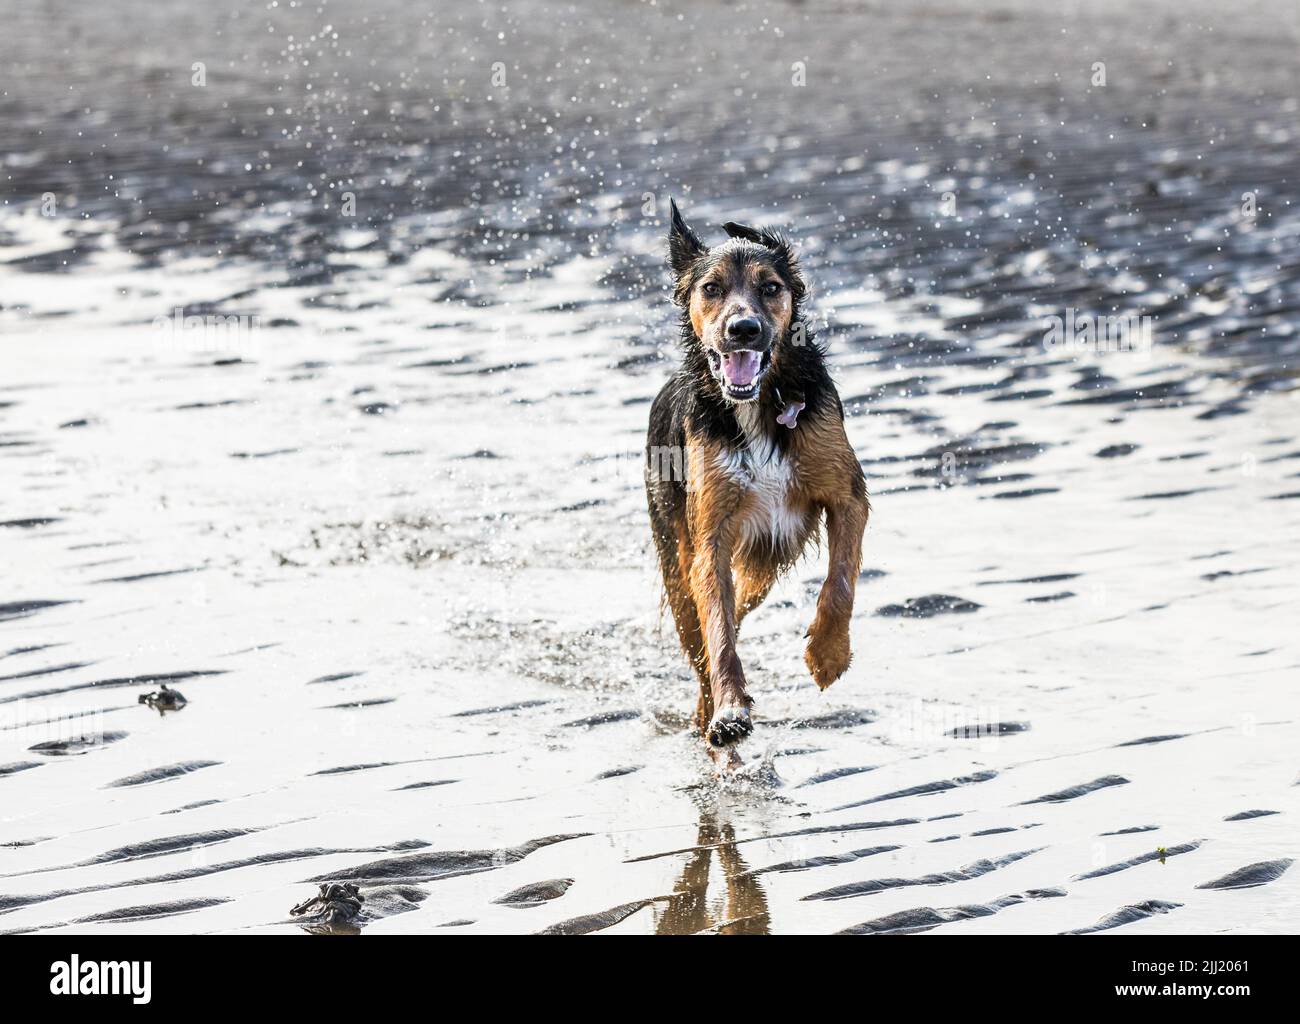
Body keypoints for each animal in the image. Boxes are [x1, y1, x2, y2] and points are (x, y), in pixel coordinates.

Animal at [644, 200, 868, 764]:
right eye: (711, 288)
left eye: (770, 287)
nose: (743, 329)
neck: (759, 405)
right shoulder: (711, 538)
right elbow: (719, 633)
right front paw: (728, 712)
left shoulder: (847, 495)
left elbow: (840, 582)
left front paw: (828, 655)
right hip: (677, 567)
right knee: (702, 638)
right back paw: (710, 715)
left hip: (761, 565)